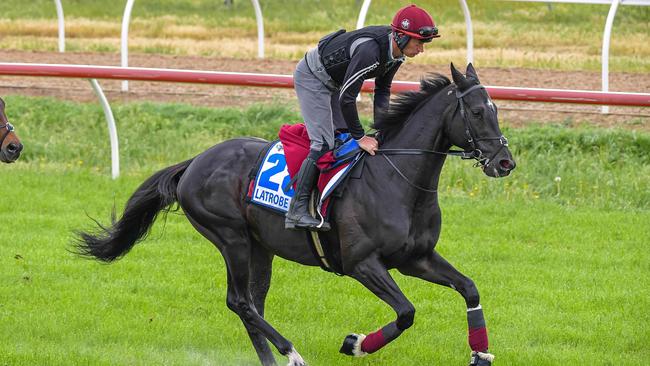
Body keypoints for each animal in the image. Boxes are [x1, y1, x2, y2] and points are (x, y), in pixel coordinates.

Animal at [74, 64, 512, 364]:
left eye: (496, 109)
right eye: (476, 112)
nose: (505, 162)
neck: (396, 180)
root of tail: (195, 161)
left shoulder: (415, 258)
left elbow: (470, 288)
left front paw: (480, 353)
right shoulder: (362, 263)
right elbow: (406, 313)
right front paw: (355, 344)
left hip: (259, 246)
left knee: (252, 304)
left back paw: (272, 357)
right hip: (230, 237)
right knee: (240, 301)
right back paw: (291, 353)